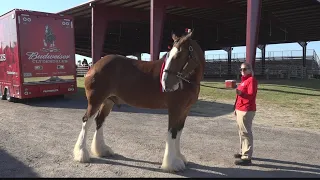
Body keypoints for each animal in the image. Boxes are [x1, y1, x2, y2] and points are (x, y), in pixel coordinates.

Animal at [73, 30, 205, 172]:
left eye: (179, 55)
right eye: (169, 55)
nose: (165, 83)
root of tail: (94, 66)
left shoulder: (184, 110)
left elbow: (179, 132)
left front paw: (180, 157)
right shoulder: (175, 109)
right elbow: (173, 132)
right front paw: (172, 164)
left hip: (107, 101)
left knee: (99, 121)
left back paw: (102, 150)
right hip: (95, 101)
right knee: (87, 121)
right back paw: (81, 154)